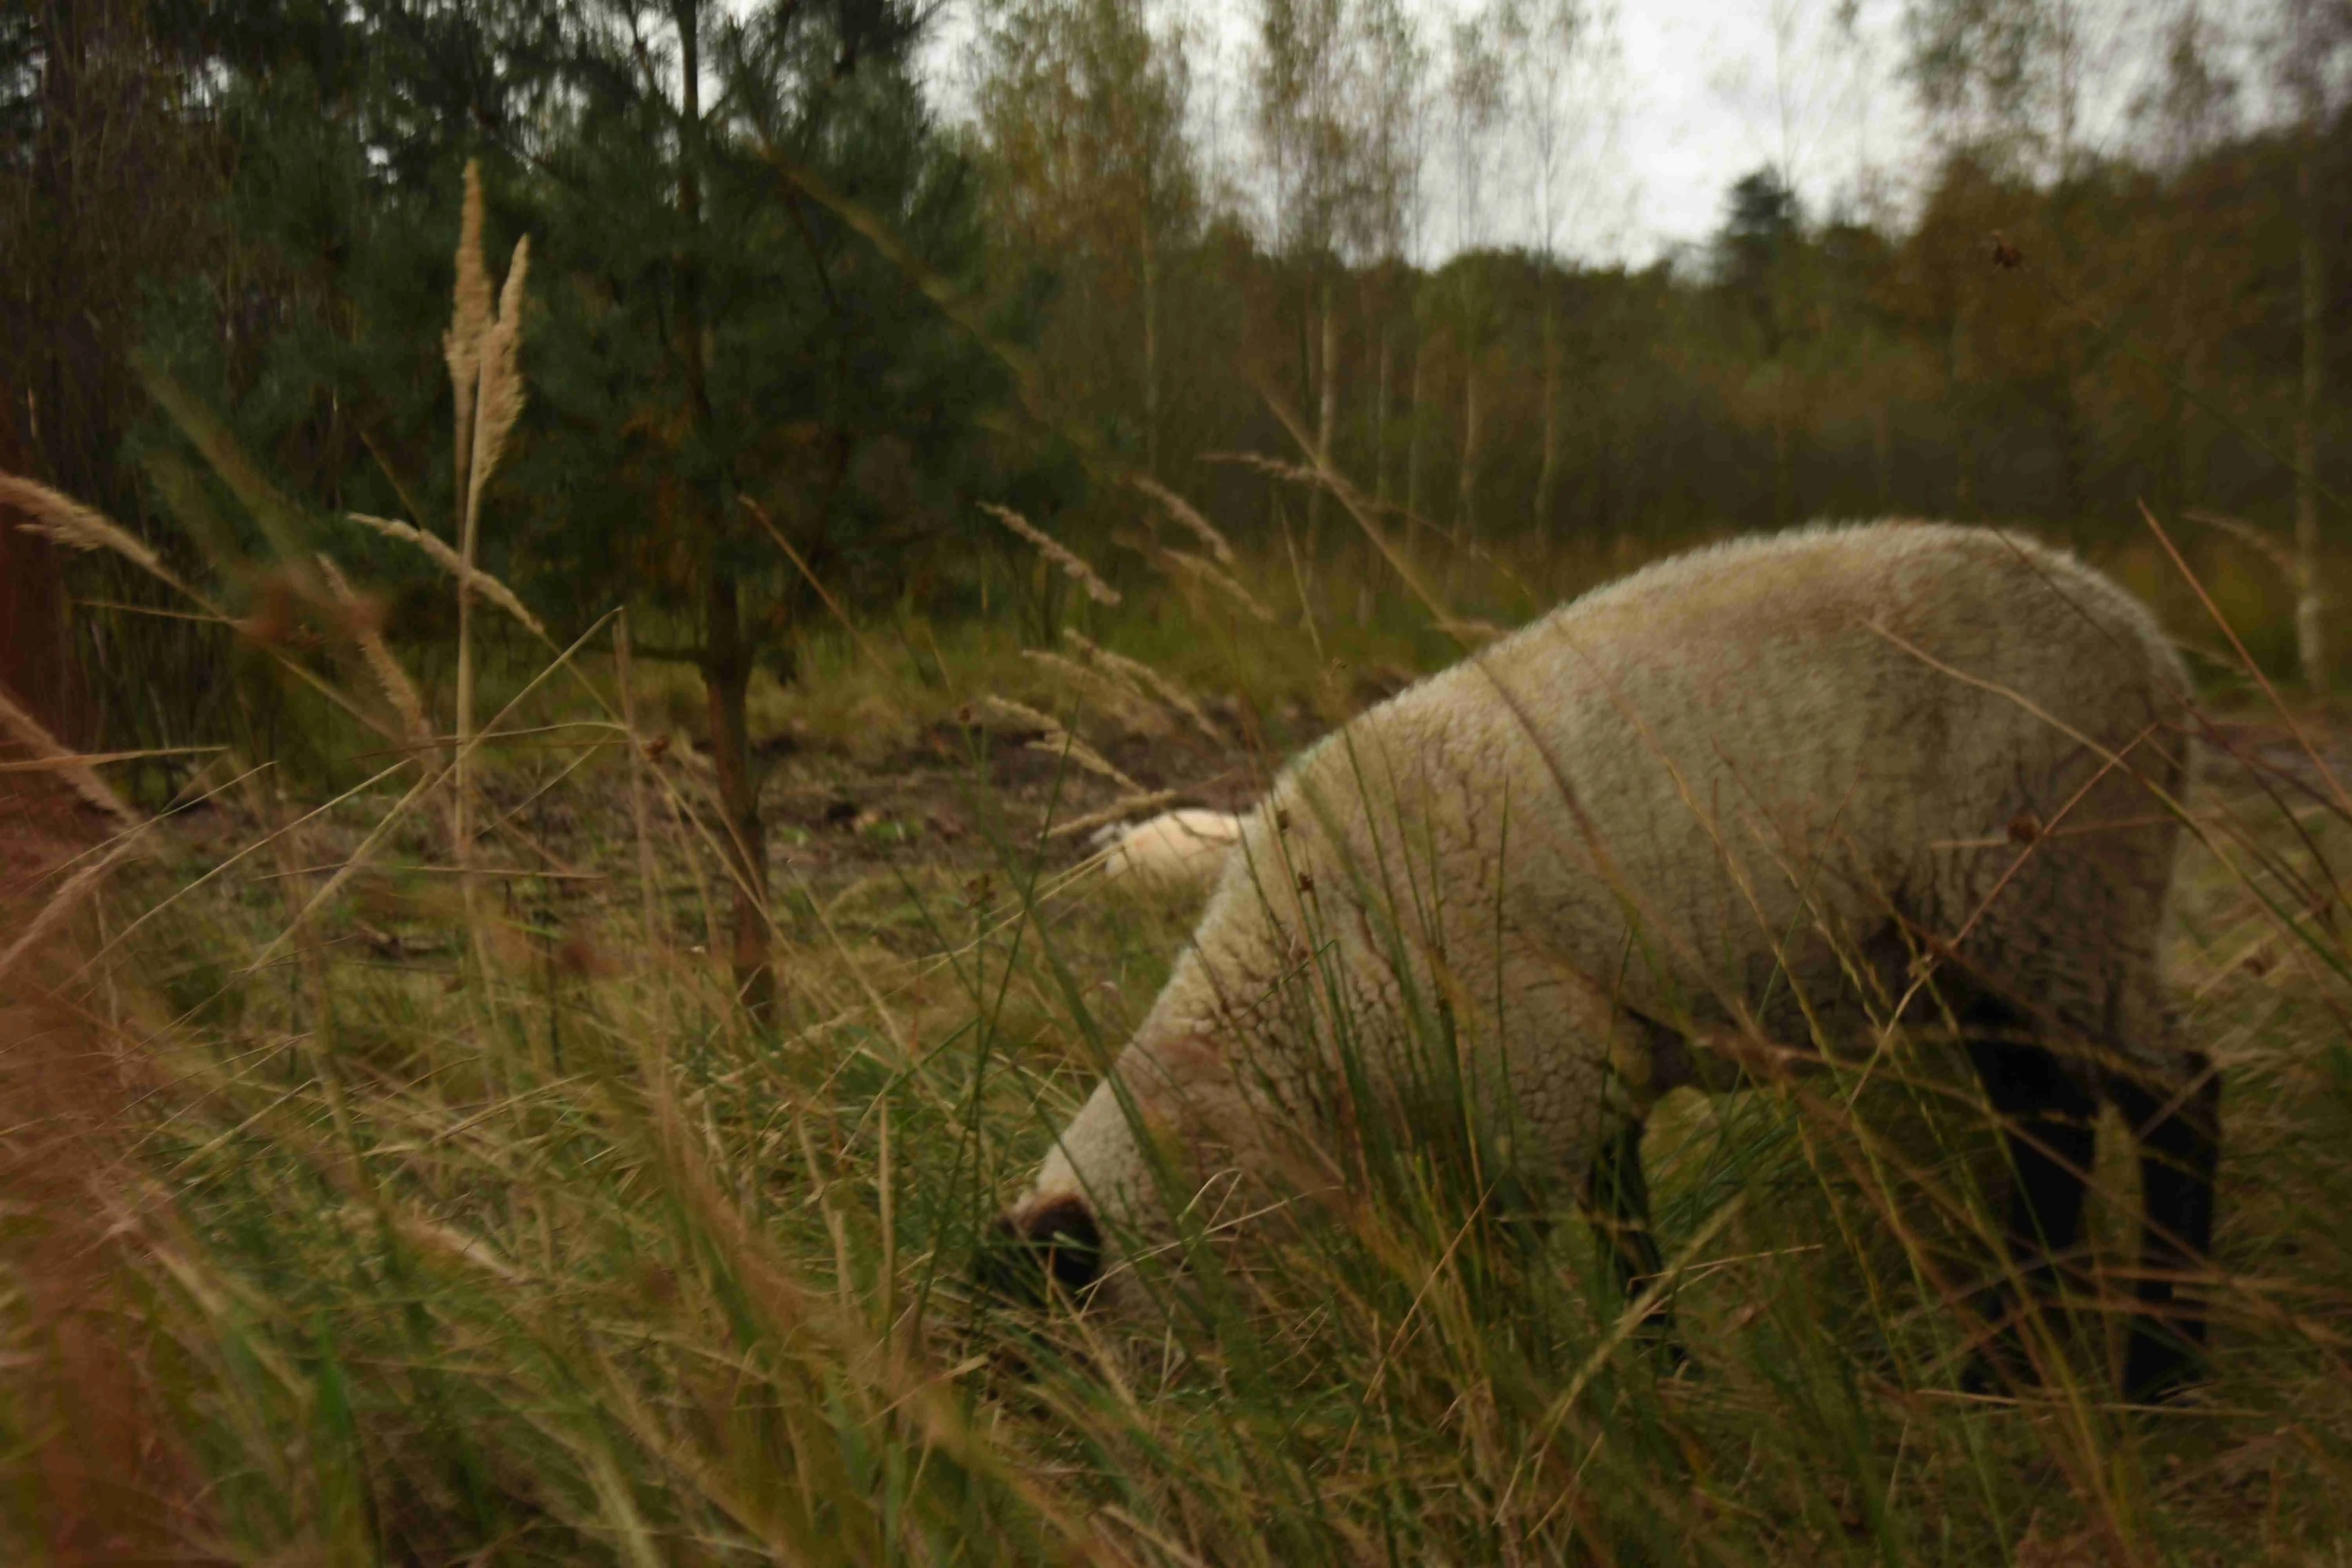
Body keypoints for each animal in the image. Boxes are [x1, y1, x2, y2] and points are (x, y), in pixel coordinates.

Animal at [988, 522, 2220, 1401]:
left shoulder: (1534, 1070)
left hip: (2059, 883)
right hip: (1994, 931)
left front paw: (1532, 1391)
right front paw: (1659, 1377)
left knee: (2172, 1101)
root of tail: (2157, 654)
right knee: (2048, 1120)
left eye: (1066, 1334)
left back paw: (2157, 1373)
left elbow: (1529, 1263)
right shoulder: (1577, 1066)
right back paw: (2004, 1370)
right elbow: (1626, 1238)